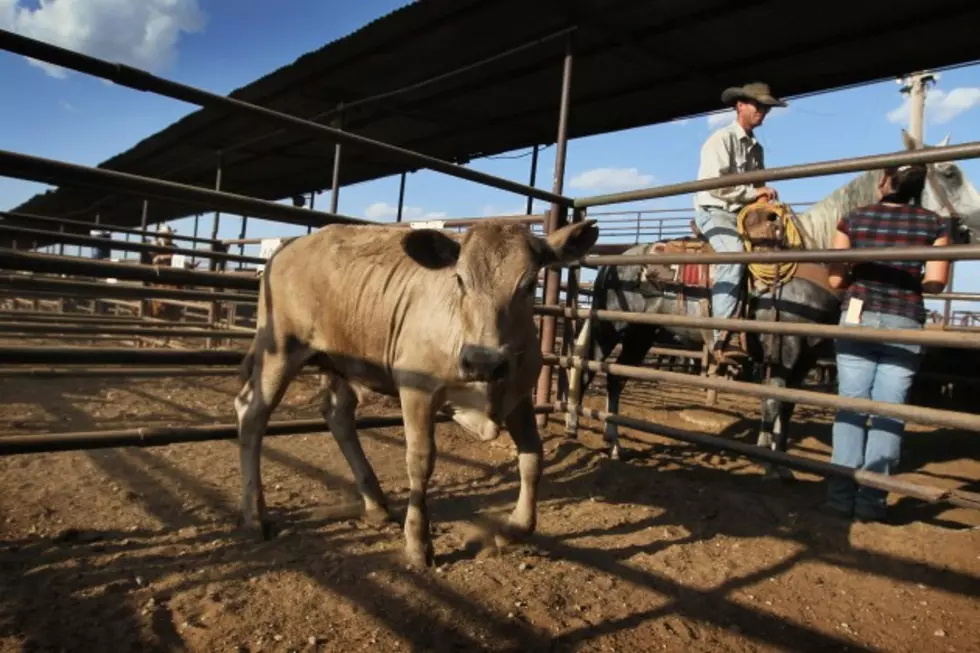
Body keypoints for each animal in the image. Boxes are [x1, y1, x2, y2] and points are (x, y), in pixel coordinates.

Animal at [234, 218, 596, 564]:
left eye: (530, 284)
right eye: (460, 280)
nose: (484, 360)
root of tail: (291, 244)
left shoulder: (520, 398)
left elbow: (533, 458)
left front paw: (512, 529)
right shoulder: (417, 389)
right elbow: (421, 462)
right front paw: (418, 543)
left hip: (340, 359)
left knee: (337, 414)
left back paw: (375, 503)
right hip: (279, 349)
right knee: (252, 413)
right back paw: (256, 514)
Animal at [564, 131, 980, 468]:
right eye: (949, 173)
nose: (971, 228)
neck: (815, 256)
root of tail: (614, 263)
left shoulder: (806, 356)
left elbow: (788, 408)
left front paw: (779, 459)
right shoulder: (785, 350)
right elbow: (773, 401)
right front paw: (770, 461)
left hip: (642, 334)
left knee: (616, 378)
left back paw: (613, 442)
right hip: (614, 328)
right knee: (589, 368)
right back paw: (573, 424)